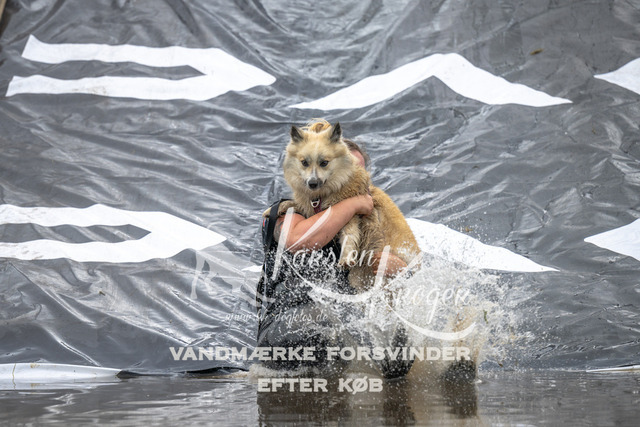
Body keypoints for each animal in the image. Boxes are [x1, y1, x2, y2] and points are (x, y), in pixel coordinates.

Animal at [266, 119, 421, 291]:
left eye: (324, 163)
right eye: (304, 162)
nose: (312, 183)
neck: (325, 194)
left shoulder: (352, 214)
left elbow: (349, 235)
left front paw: (346, 258)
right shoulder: (313, 208)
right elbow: (298, 206)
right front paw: (278, 207)